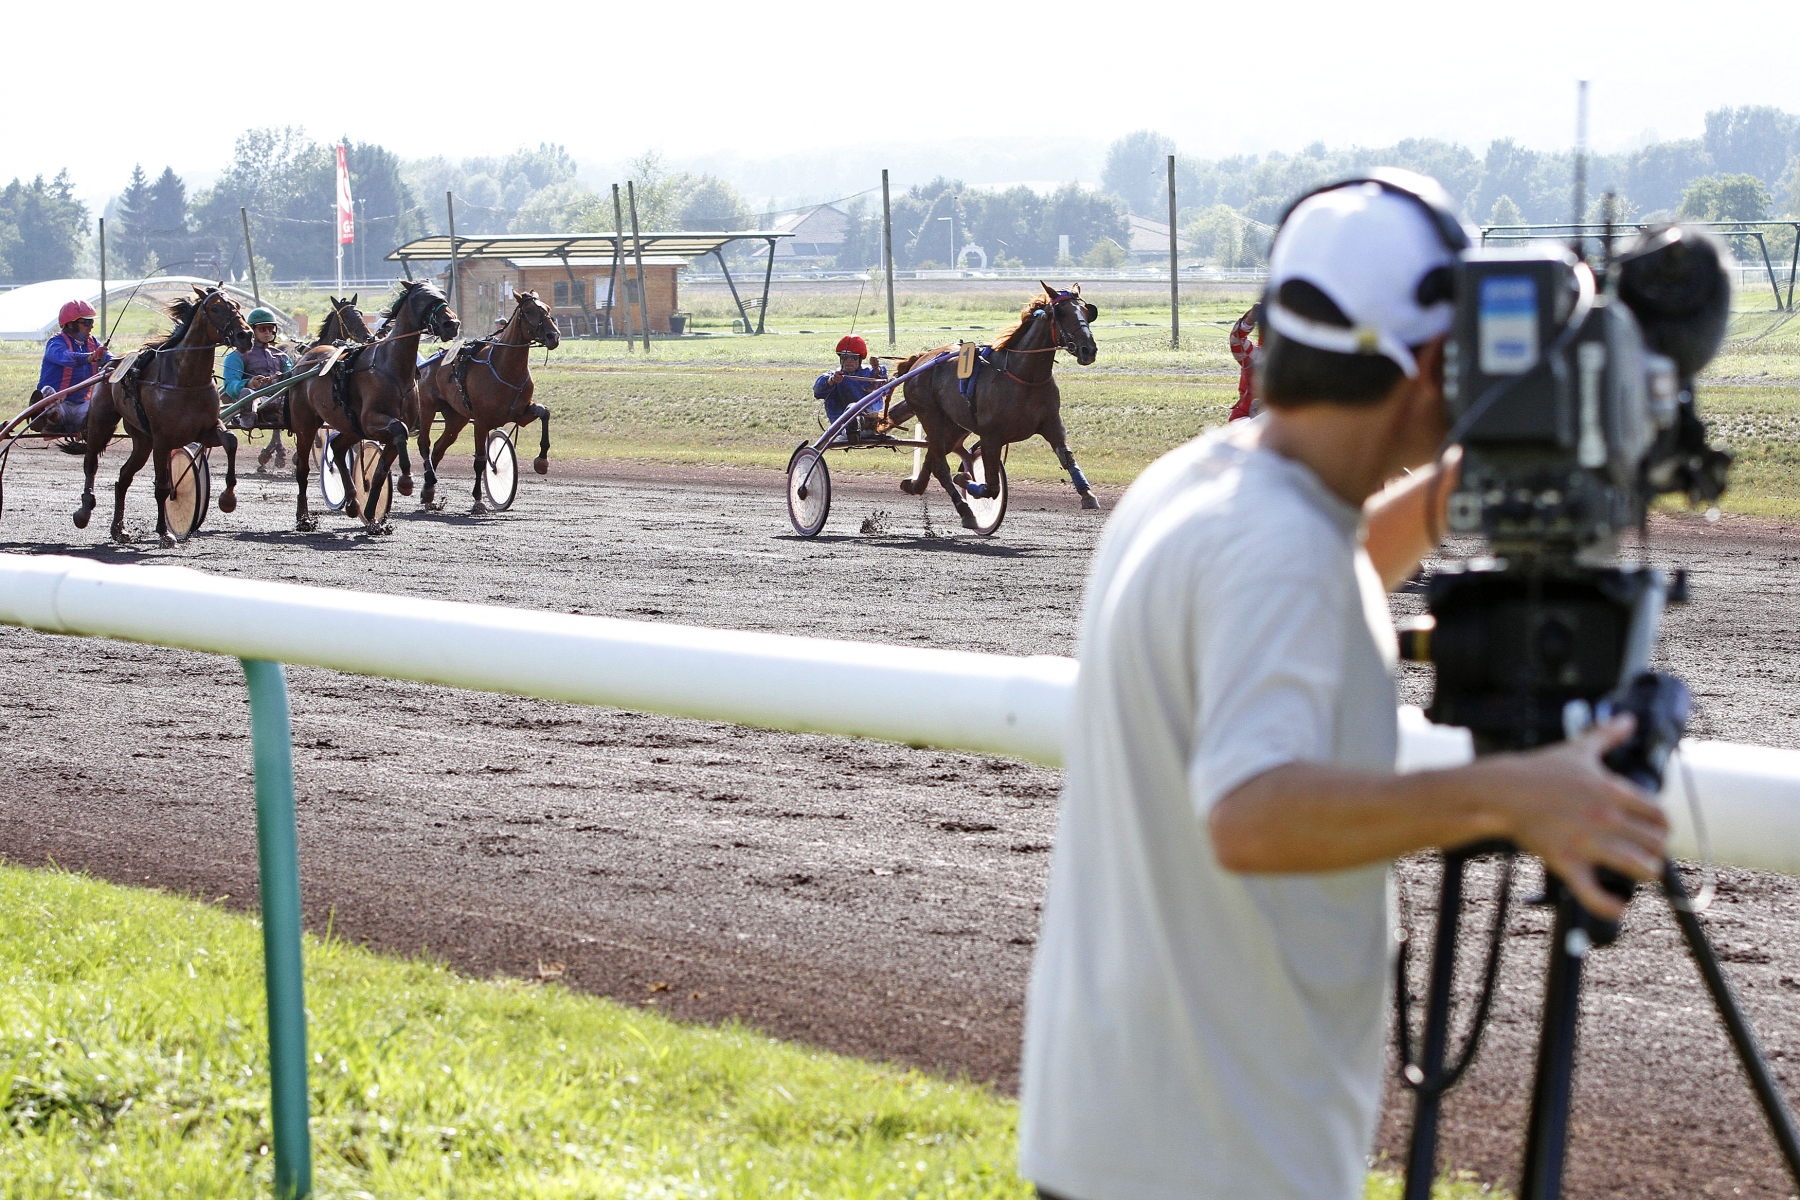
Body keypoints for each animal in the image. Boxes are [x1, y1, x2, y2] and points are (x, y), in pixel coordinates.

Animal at [73, 284, 255, 546]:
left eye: (238, 305)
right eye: (215, 308)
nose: (246, 336)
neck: (185, 379)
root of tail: (111, 363)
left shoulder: (206, 430)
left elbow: (230, 441)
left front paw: (228, 499)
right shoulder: (162, 440)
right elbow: (162, 486)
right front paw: (165, 532)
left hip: (142, 440)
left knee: (123, 478)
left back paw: (119, 529)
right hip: (102, 423)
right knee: (91, 464)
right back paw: (84, 510)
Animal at [288, 282, 457, 536]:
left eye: (442, 294)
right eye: (422, 298)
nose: (452, 324)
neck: (392, 368)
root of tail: (304, 361)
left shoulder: (380, 431)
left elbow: (380, 472)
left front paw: (373, 517)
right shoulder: (372, 421)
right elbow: (400, 429)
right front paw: (406, 481)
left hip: (350, 427)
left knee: (337, 448)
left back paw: (352, 502)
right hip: (305, 425)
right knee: (303, 469)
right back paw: (304, 518)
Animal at [414, 291, 554, 518]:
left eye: (547, 308)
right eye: (528, 310)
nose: (553, 336)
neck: (506, 368)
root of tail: (429, 362)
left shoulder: (520, 413)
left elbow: (545, 413)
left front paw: (542, 461)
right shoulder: (480, 422)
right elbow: (480, 460)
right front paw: (478, 500)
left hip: (457, 418)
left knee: (438, 449)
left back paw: (429, 492)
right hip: (427, 407)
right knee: (424, 444)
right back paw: (427, 490)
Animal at [892, 284, 1101, 528]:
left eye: (1087, 312)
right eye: (1062, 313)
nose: (1088, 350)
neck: (1024, 377)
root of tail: (921, 359)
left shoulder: (1051, 424)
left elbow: (1067, 458)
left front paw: (1088, 494)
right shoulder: (991, 436)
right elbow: (991, 486)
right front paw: (964, 478)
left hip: (954, 424)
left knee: (935, 457)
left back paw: (915, 485)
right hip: (930, 415)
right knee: (941, 465)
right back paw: (966, 510)